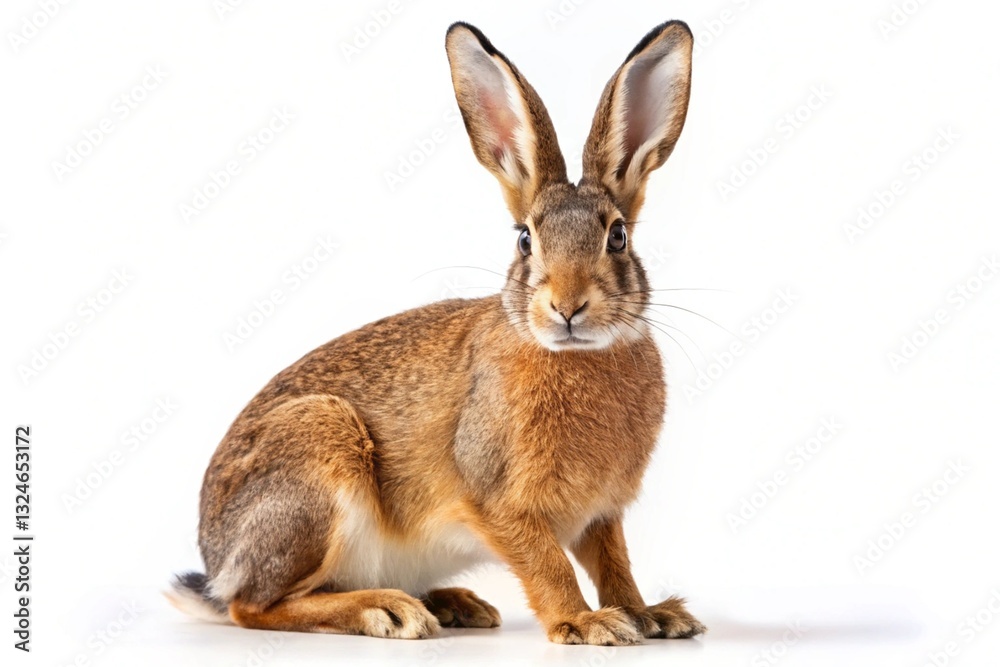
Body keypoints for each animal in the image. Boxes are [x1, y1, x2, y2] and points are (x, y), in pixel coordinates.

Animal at [167, 20, 704, 645]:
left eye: (618, 237)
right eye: (525, 240)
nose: (567, 307)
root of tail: (217, 561)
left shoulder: (601, 514)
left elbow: (615, 563)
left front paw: (650, 616)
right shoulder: (498, 500)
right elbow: (548, 565)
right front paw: (586, 623)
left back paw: (453, 603)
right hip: (315, 462)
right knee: (254, 606)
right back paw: (386, 610)